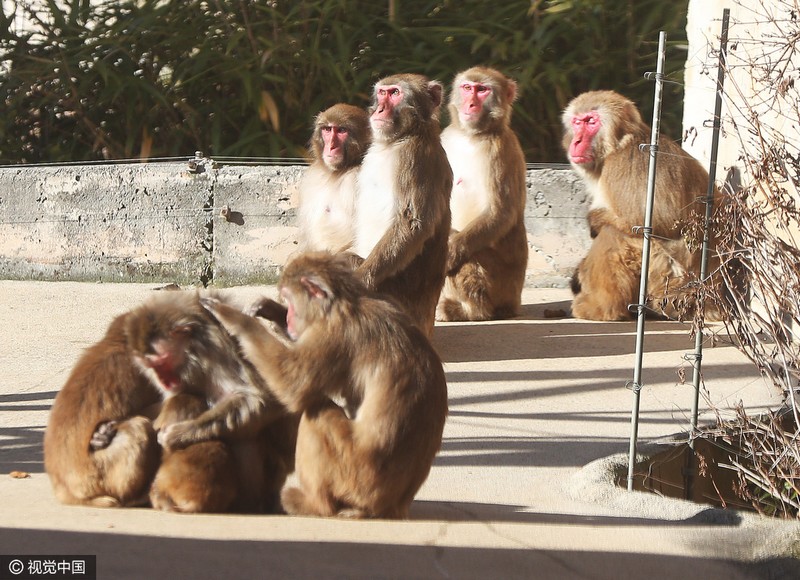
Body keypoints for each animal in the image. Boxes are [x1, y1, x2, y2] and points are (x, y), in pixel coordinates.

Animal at [202, 251, 450, 520]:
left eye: (290, 299)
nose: (288, 318)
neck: (347, 303)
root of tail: (390, 507)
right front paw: (269, 310)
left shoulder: (336, 334)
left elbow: (292, 385)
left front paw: (234, 319)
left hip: (354, 475)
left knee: (317, 412)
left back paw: (314, 505)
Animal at [296, 103, 372, 251]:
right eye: (327, 129)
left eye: (342, 130)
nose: (331, 146)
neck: (336, 172)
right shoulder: (312, 176)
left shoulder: (357, 178)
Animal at [354, 73, 454, 336]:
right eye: (382, 93)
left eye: (395, 93)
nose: (379, 109)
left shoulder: (414, 159)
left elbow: (413, 224)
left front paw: (360, 279)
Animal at [434, 68, 528, 324]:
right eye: (467, 88)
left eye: (482, 90)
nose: (471, 103)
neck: (472, 136)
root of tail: (515, 301)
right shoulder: (445, 138)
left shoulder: (499, 150)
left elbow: (501, 212)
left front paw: (451, 252)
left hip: (501, 286)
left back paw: (470, 311)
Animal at [560, 89, 720, 322]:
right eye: (577, 122)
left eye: (591, 121)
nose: (577, 140)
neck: (618, 145)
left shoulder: (625, 164)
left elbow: (661, 222)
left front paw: (594, 220)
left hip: (669, 286)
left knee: (616, 234)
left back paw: (601, 308)